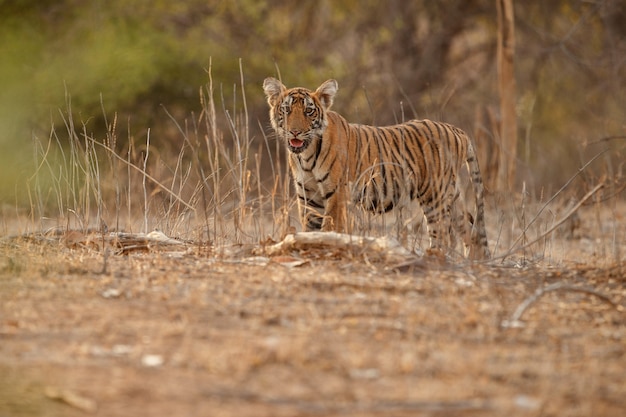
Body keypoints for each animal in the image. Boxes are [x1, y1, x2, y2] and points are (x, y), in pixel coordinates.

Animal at [260, 76, 490, 258]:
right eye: (286, 110)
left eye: (309, 111)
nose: (295, 132)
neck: (305, 157)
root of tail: (458, 131)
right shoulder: (308, 197)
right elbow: (310, 228)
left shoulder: (336, 194)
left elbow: (330, 227)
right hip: (452, 196)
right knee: (470, 230)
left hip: (435, 196)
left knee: (443, 233)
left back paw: (435, 258)